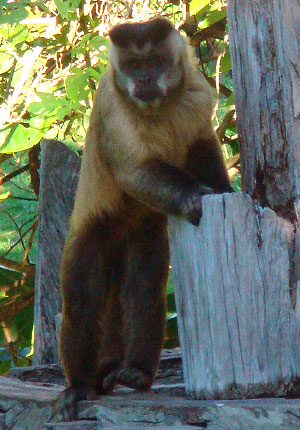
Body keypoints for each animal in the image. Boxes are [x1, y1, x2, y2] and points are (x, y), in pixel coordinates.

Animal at [56, 15, 234, 420]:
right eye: (135, 67)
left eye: (153, 62)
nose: (146, 80)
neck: (161, 106)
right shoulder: (113, 104)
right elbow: (134, 171)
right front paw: (194, 197)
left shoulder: (197, 93)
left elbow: (202, 145)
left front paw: (225, 193)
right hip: (92, 231)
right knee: (83, 298)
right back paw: (80, 384)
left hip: (145, 233)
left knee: (142, 285)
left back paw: (135, 372)